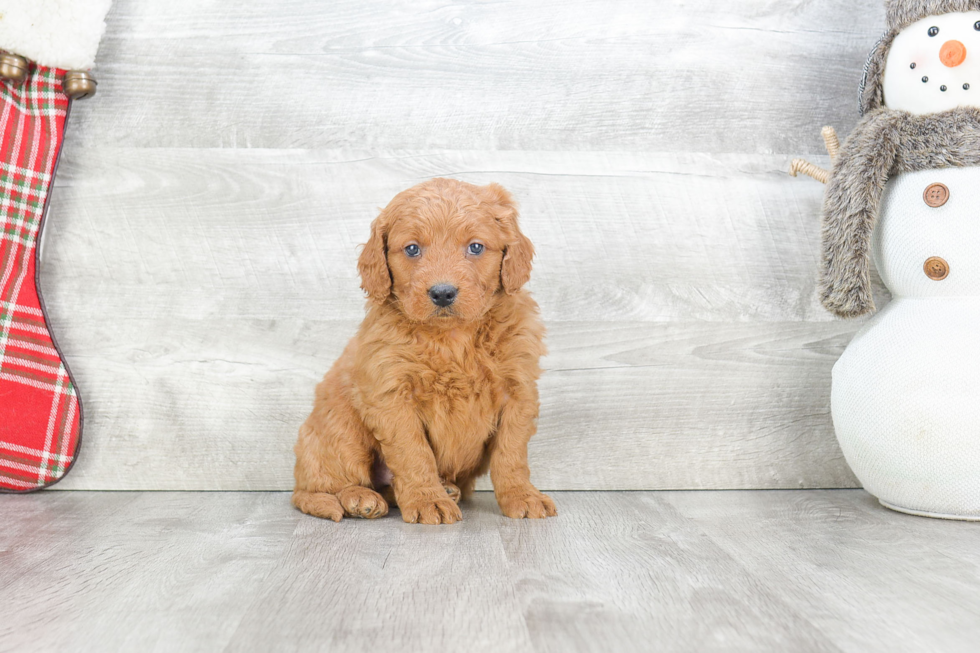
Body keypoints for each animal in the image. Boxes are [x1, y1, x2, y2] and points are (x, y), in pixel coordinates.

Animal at [290, 176, 556, 524]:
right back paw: (360, 499)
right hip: (340, 428)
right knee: (315, 489)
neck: (452, 337)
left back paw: (445, 489)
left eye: (476, 247)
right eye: (412, 248)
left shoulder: (518, 390)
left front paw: (522, 495)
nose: (442, 293)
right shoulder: (391, 395)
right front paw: (428, 500)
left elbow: (511, 454)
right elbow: (413, 453)